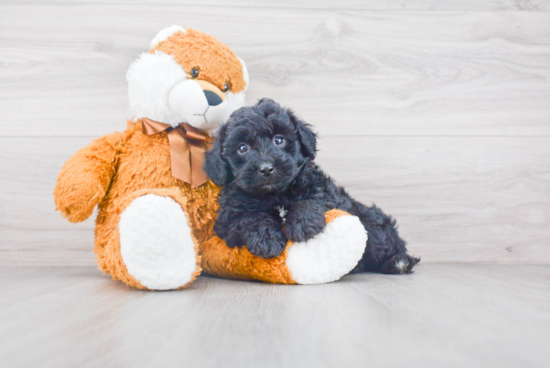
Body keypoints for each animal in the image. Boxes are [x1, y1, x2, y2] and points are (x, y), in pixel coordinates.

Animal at [205, 98, 420, 274]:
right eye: (242, 148)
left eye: (279, 140)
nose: (266, 169)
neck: (275, 194)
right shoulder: (227, 219)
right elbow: (249, 218)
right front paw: (267, 240)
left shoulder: (328, 195)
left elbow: (311, 201)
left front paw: (302, 224)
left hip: (373, 225)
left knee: (386, 244)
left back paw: (399, 262)